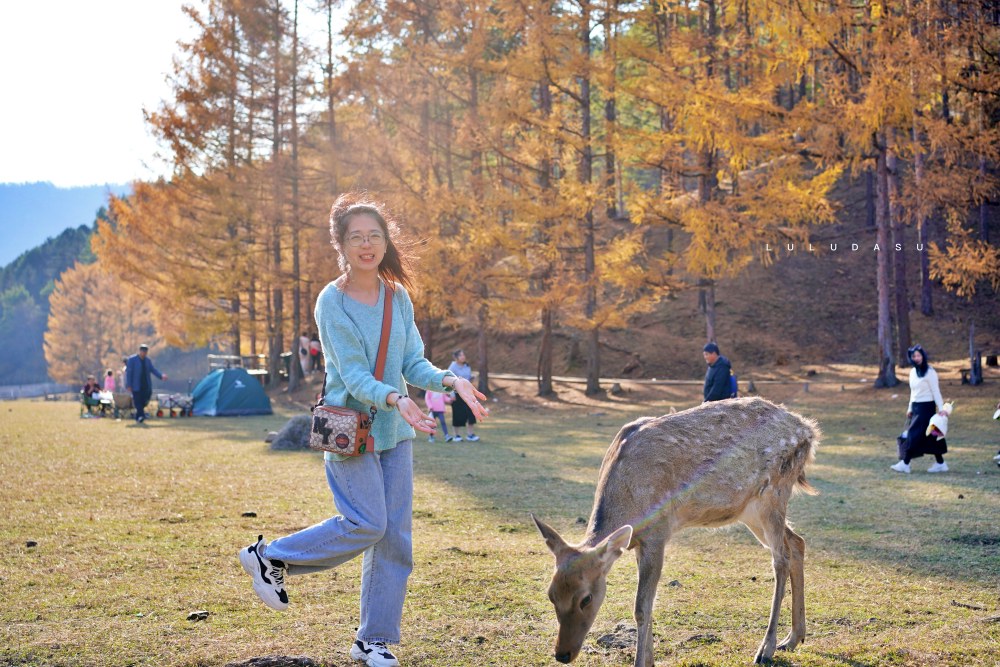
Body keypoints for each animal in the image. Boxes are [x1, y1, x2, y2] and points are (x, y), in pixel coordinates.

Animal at [536, 400, 816, 664]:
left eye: (586, 598)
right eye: (551, 595)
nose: (562, 654)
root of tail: (808, 430)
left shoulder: (658, 533)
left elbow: (642, 607)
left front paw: (642, 662)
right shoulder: (639, 542)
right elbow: (647, 604)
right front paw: (650, 660)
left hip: (775, 492)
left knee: (780, 559)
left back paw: (766, 648)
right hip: (749, 510)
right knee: (797, 542)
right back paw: (793, 638)